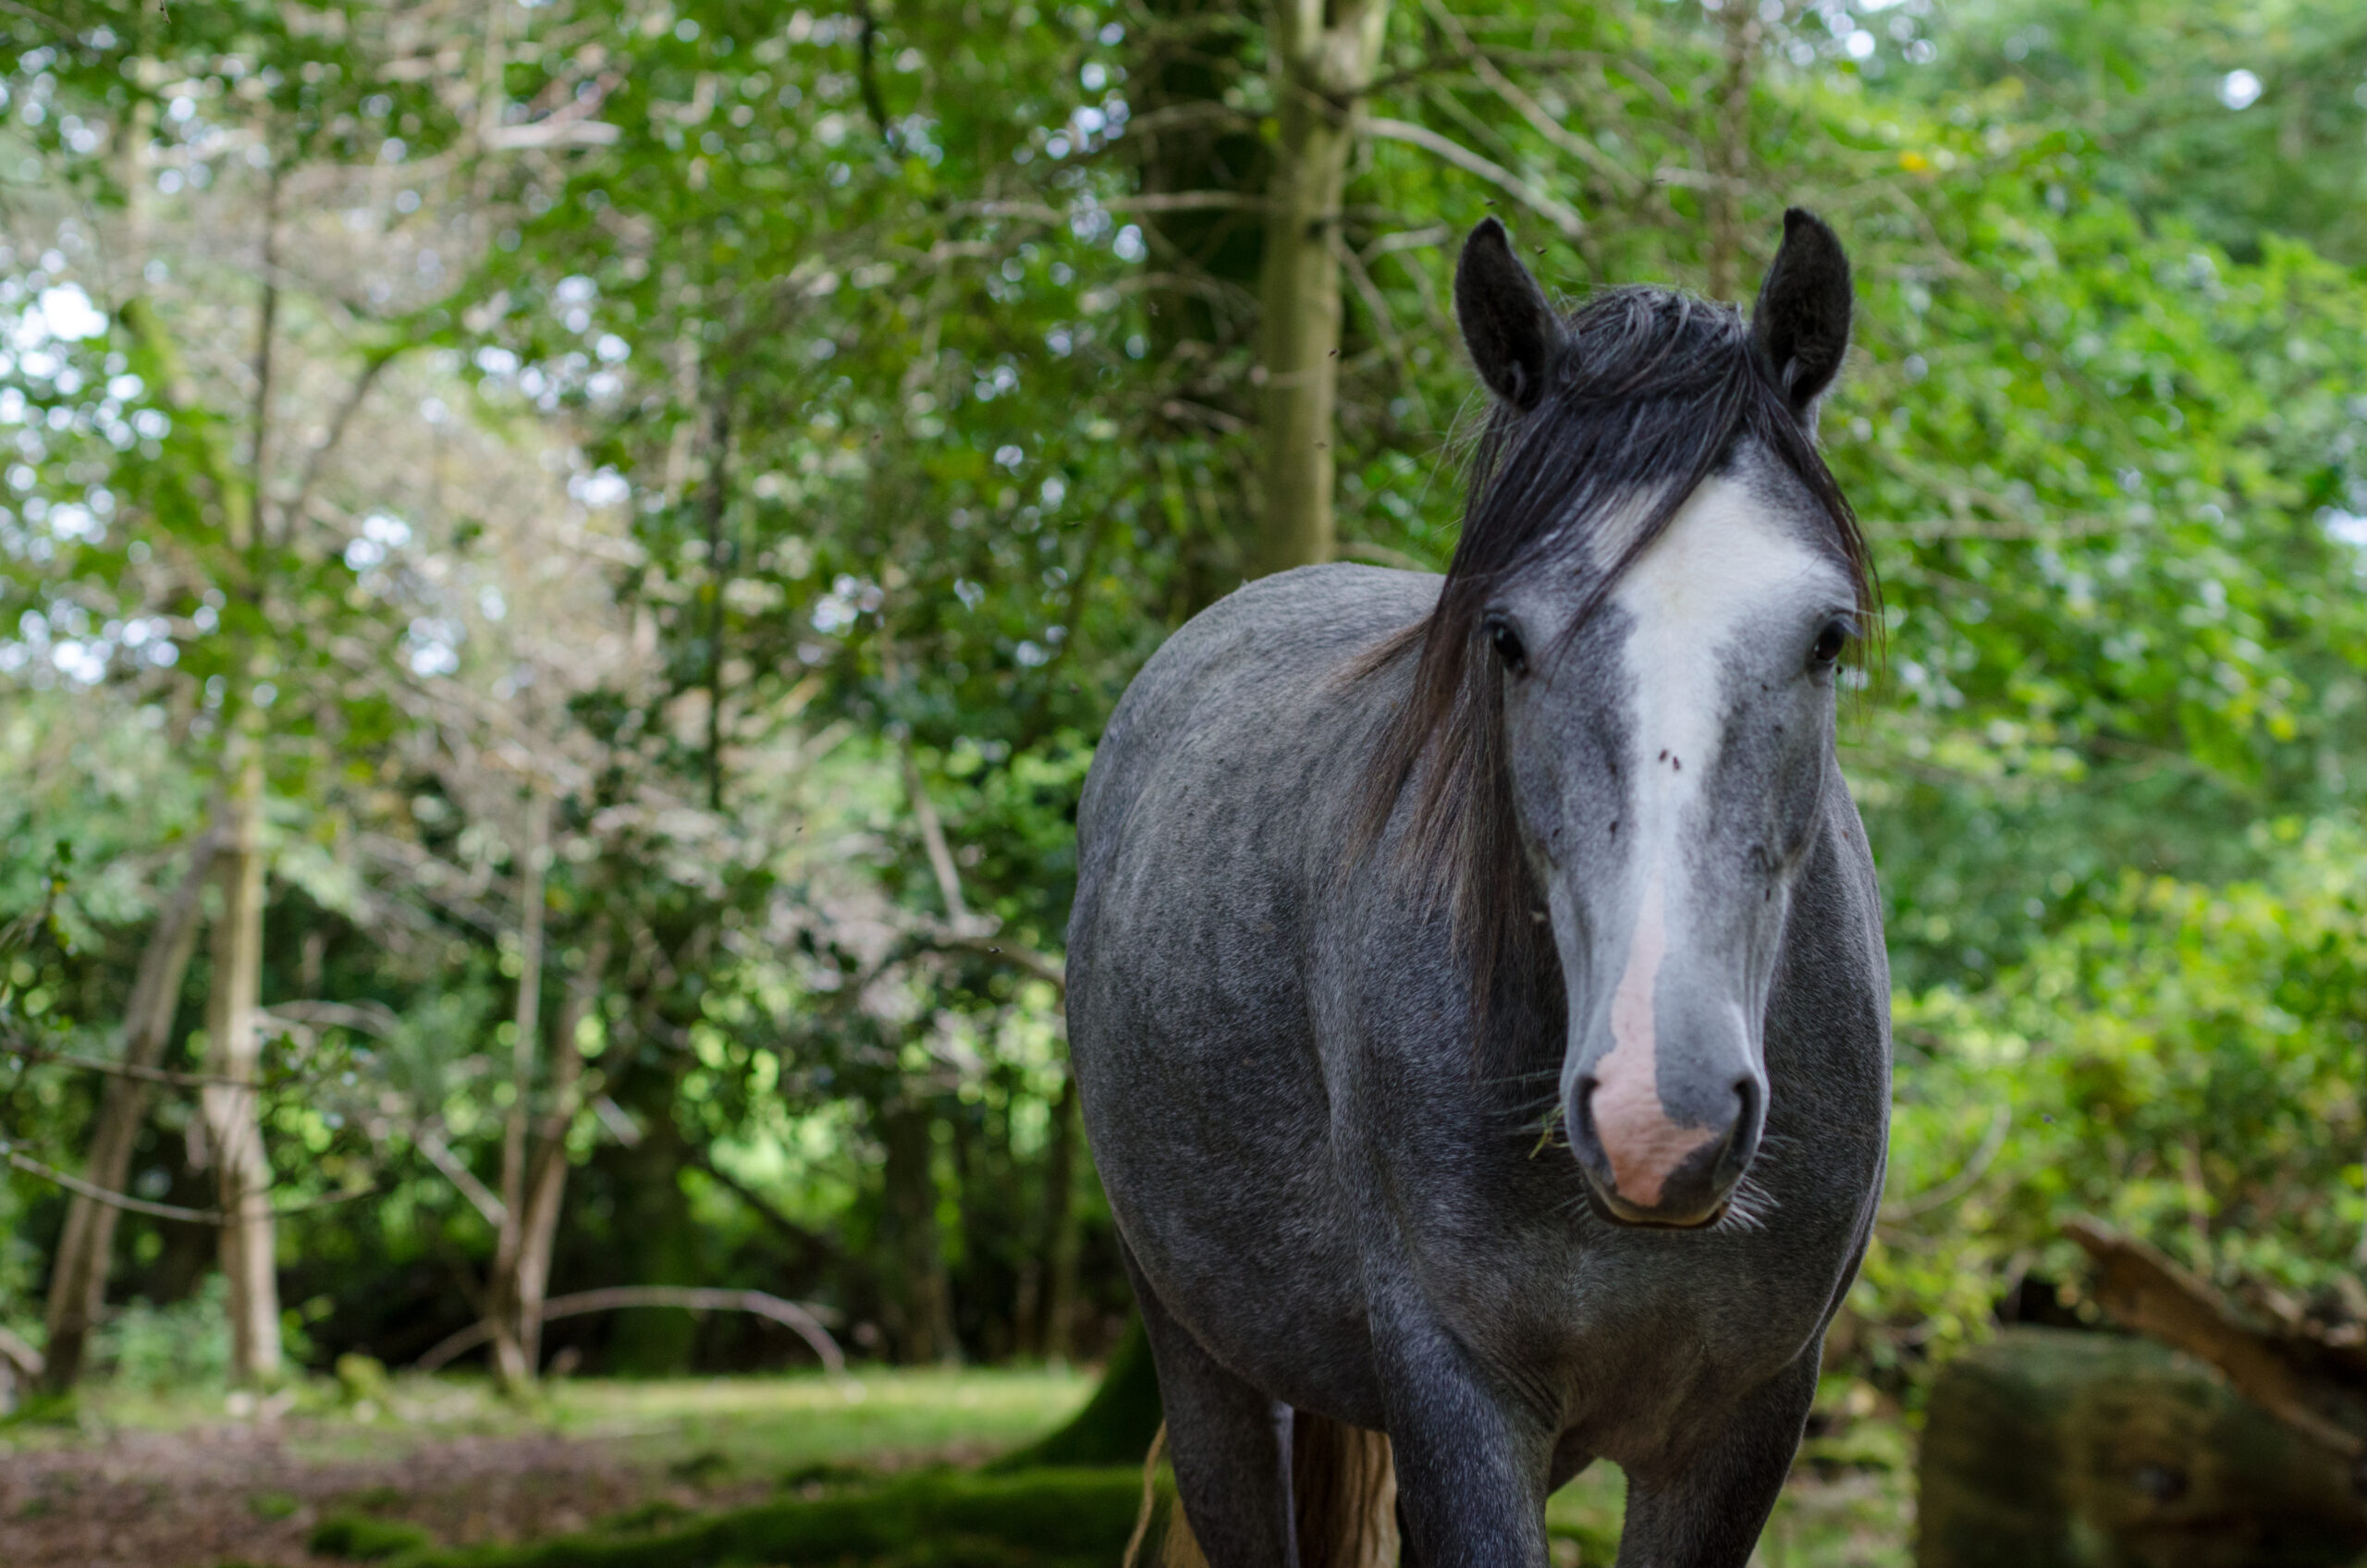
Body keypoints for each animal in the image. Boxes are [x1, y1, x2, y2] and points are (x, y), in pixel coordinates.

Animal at [1065, 217, 1894, 1568]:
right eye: (1506, 638)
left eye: (1825, 637)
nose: (1658, 1114)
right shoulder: (1457, 1388)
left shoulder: (1747, 1417)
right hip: (1206, 1364)